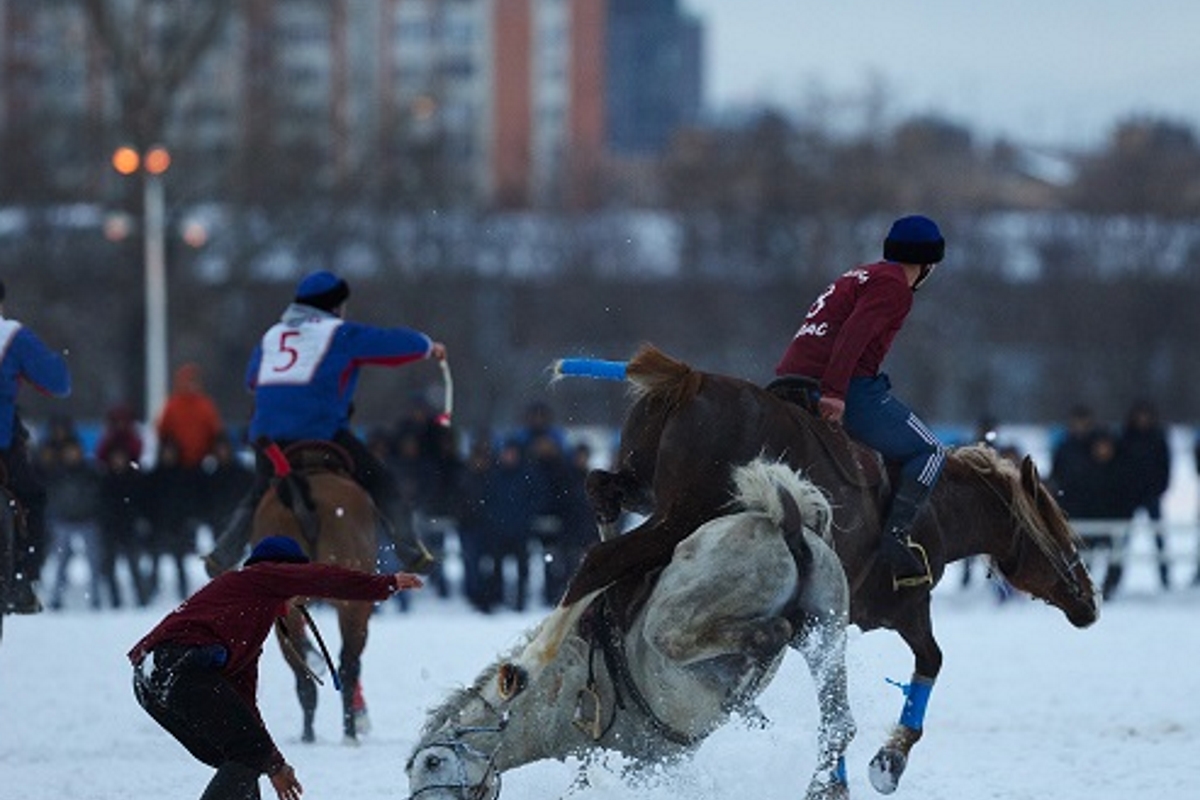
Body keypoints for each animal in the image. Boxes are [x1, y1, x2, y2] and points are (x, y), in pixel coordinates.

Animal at [408, 455, 859, 800]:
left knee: (762, 633)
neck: (556, 693)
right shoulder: (655, 762)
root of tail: (782, 521)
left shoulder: (619, 760)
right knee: (838, 722)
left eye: (433, 762)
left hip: (674, 622)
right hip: (826, 632)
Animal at [549, 345, 1099, 796]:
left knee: (602, 501)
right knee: (598, 562)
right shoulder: (900, 610)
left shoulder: (831, 620)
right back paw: (544, 658)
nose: (1088, 603)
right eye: (1066, 534)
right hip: (675, 516)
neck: (939, 511)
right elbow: (928, 663)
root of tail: (692, 378)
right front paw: (887, 761)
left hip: (644, 491)